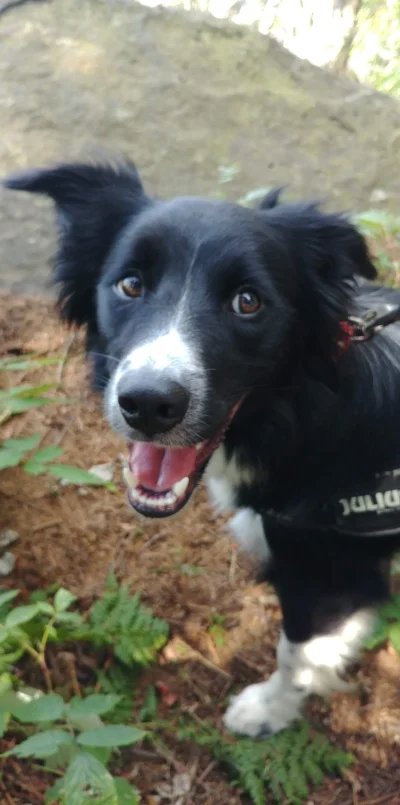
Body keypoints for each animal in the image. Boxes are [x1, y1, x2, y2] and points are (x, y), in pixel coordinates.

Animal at [5, 162, 400, 736]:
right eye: (130, 284)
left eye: (248, 302)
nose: (147, 404)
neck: (301, 410)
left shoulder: (330, 573)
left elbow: (297, 654)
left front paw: (265, 711)